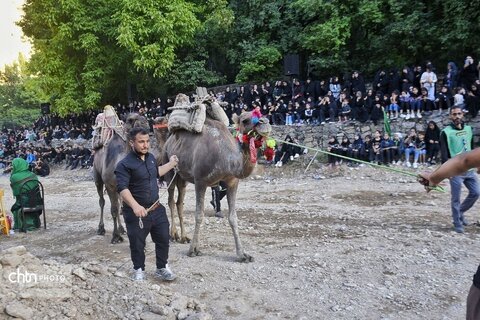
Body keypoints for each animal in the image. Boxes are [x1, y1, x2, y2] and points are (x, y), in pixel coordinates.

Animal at [92, 112, 148, 242]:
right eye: (130, 119)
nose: (145, 121)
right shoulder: (110, 185)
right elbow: (113, 209)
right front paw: (115, 236)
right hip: (97, 176)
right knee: (102, 201)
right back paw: (101, 228)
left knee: (118, 202)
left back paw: (122, 229)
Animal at [156, 109, 272, 262]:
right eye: (245, 120)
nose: (265, 123)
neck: (225, 160)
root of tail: (167, 141)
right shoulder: (200, 181)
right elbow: (199, 215)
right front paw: (193, 250)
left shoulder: (232, 182)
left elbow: (233, 217)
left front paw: (242, 255)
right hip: (168, 167)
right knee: (170, 200)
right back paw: (173, 235)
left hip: (182, 178)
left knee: (179, 202)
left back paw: (184, 237)